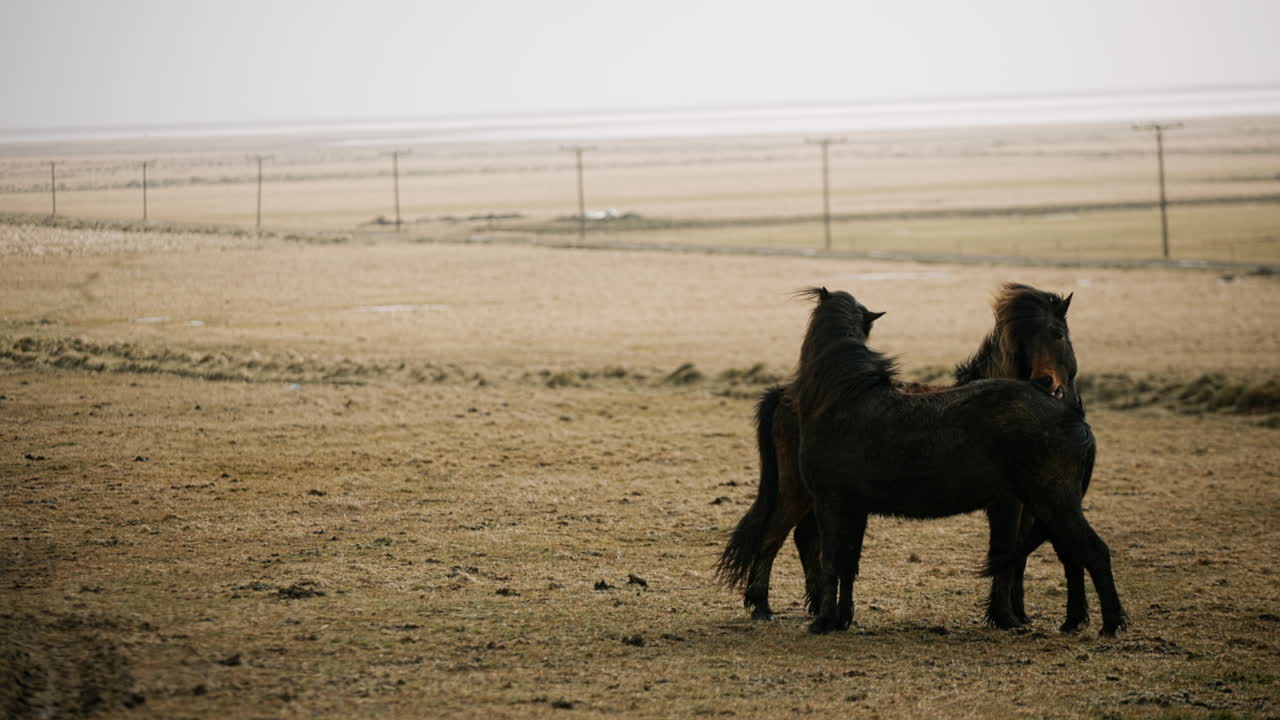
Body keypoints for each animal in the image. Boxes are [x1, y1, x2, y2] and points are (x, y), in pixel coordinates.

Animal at [717, 283, 1081, 630]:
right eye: (1023, 339)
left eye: (1058, 334)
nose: (1044, 381)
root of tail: (785, 393)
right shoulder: (1006, 503)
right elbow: (1006, 555)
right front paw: (1005, 617)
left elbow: (1018, 557)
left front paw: (1019, 615)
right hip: (797, 491)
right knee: (772, 535)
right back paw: (763, 607)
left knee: (803, 539)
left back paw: (812, 605)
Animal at [788, 288, 1125, 636]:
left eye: (1059, 334)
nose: (1047, 380)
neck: (841, 397)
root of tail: (1071, 414)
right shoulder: (854, 508)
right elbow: (848, 564)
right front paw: (840, 619)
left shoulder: (830, 503)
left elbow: (831, 562)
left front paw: (823, 621)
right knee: (1076, 553)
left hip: (1055, 503)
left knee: (1094, 552)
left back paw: (1111, 624)